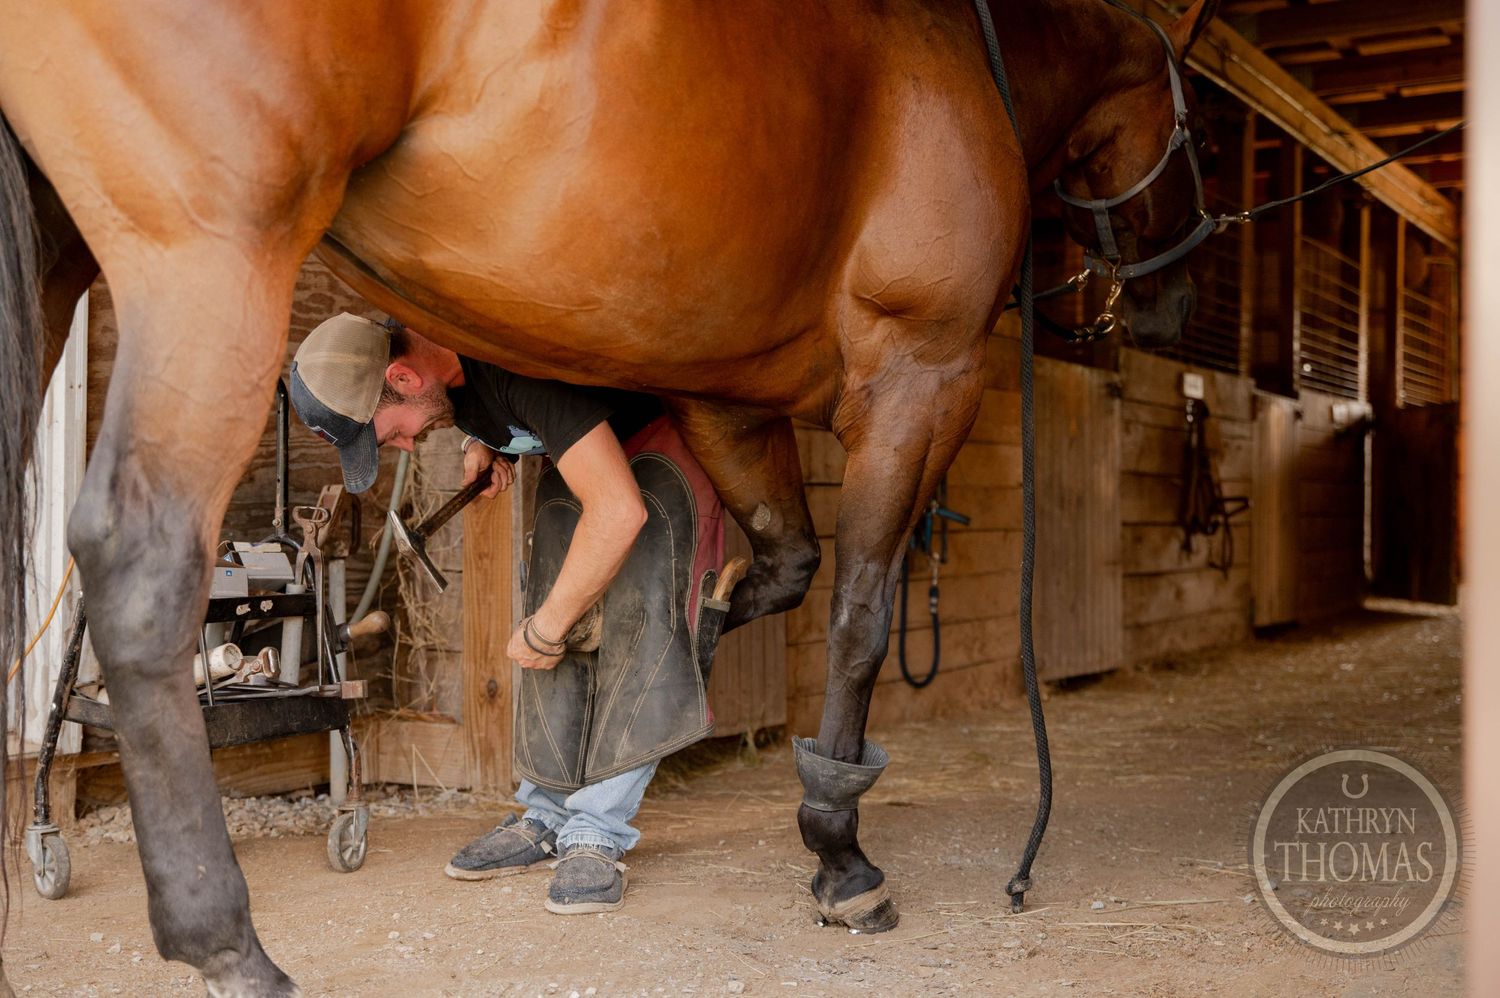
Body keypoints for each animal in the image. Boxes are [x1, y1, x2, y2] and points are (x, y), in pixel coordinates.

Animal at [0, 0, 1218, 992]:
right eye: (1200, 120)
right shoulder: (922, 376)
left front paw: (705, 629)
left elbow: (782, 564)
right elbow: (860, 613)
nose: (1158, 306)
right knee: (140, 563)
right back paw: (230, 948)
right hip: (212, 246)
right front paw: (840, 853)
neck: (975, 64)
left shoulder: (729, 397)